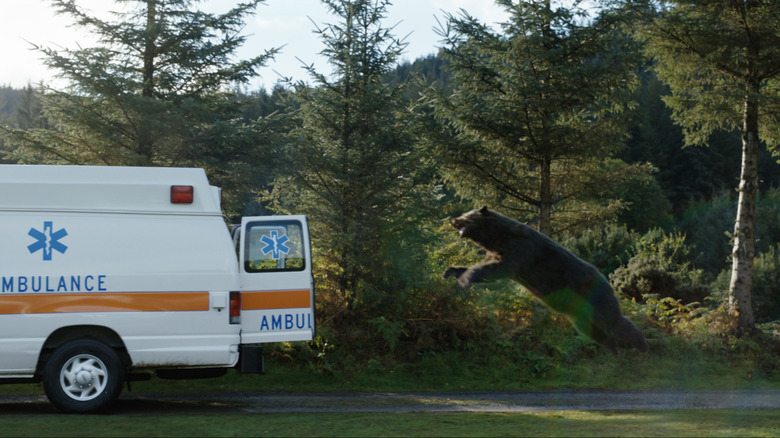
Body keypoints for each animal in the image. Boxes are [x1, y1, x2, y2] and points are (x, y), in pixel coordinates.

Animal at [442, 207, 648, 354]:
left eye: (466, 215)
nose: (452, 219)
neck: (498, 237)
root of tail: (607, 281)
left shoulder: (520, 250)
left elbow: (497, 269)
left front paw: (465, 279)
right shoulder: (496, 251)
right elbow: (484, 267)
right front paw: (451, 271)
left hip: (595, 299)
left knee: (614, 323)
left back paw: (642, 345)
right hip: (579, 314)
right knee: (592, 330)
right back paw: (613, 348)